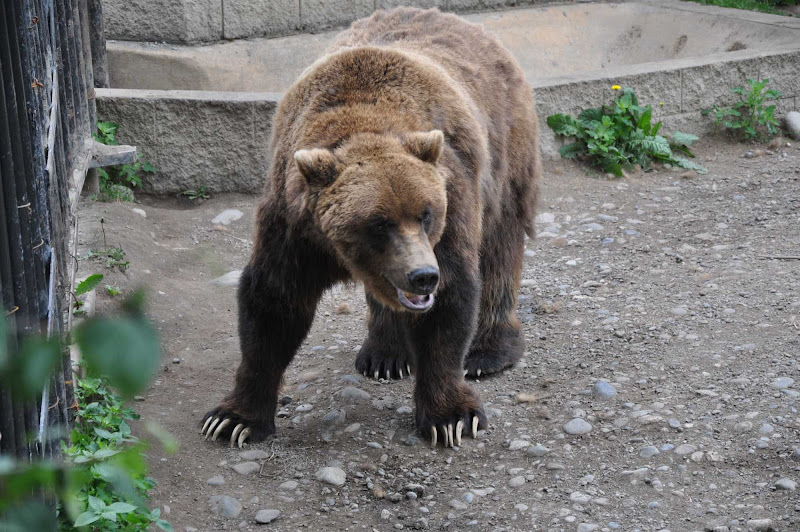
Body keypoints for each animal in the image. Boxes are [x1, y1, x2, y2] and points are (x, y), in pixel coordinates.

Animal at [200, 7, 540, 448]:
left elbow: (450, 301)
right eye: (378, 223)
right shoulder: (294, 224)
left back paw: (488, 353)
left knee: (500, 246)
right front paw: (233, 419)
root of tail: (464, 22)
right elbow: (274, 302)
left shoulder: (453, 194)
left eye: (426, 213)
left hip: (504, 156)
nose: (422, 276)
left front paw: (451, 417)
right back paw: (384, 354)